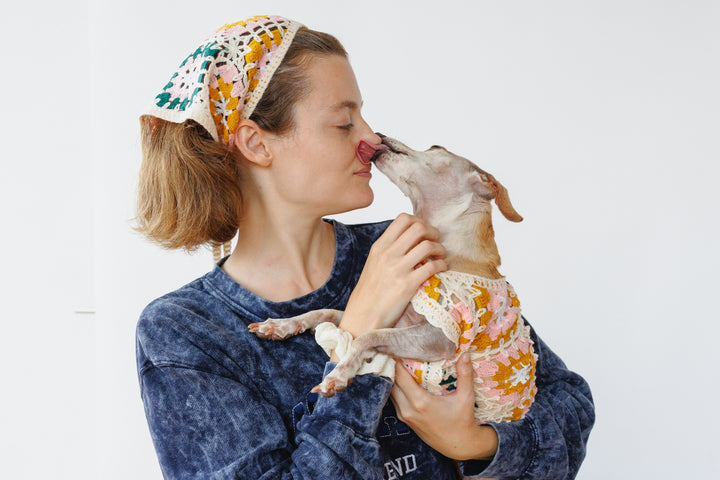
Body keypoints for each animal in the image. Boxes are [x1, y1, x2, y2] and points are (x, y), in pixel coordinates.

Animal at [248, 135, 536, 424]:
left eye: (436, 148)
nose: (379, 135)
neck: (445, 245)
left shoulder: (439, 338)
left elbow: (367, 336)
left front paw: (339, 374)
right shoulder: (397, 319)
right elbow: (324, 312)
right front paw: (281, 325)